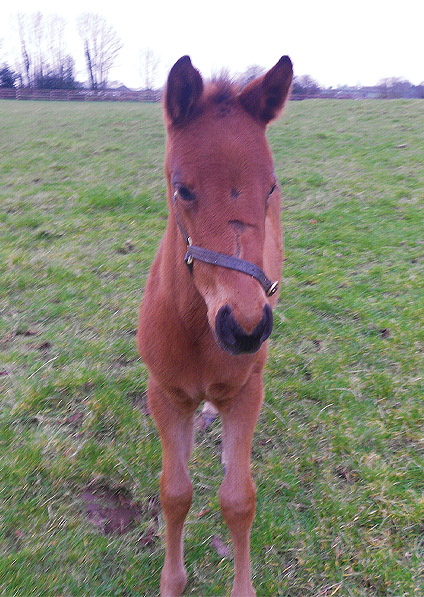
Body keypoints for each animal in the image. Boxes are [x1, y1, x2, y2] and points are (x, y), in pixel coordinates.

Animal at [137, 53, 294, 592]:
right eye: (182, 190)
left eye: (270, 187)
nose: (244, 328)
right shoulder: (164, 394)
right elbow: (174, 493)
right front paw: (172, 582)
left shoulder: (247, 391)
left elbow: (238, 499)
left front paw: (243, 589)